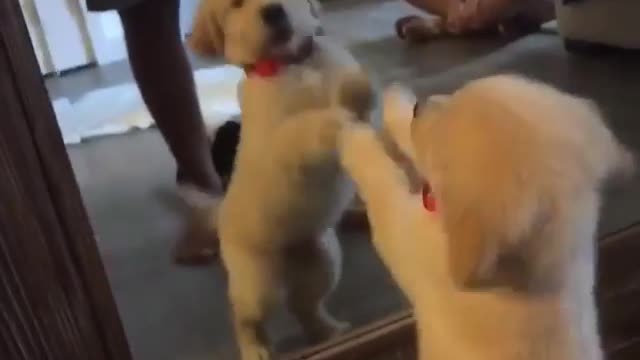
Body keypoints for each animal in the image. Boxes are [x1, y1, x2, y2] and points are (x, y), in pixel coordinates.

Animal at [188, 1, 372, 358]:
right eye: (235, 4)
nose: (273, 11)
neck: (293, 64)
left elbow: (361, 99)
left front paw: (355, 91)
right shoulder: (280, 141)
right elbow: (309, 126)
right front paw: (333, 121)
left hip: (324, 261)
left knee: (303, 305)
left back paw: (326, 330)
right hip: (259, 284)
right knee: (245, 315)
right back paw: (254, 348)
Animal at [338, 74, 632, 360]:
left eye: (440, 137)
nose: (419, 105)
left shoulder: (408, 242)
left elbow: (381, 183)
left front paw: (354, 133)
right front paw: (397, 100)